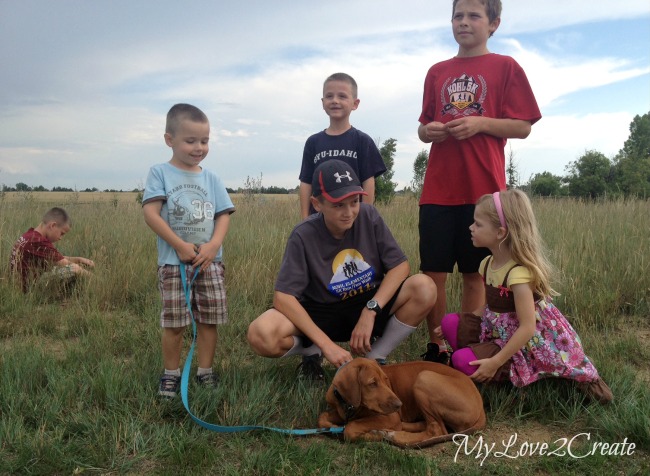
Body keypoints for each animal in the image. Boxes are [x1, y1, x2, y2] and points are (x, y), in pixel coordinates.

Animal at [316, 358, 484, 448]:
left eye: (386, 380)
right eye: (372, 383)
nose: (399, 405)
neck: (351, 407)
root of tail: (481, 406)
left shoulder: (389, 417)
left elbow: (350, 428)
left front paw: (371, 434)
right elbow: (322, 417)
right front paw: (333, 426)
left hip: (424, 377)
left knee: (436, 429)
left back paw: (393, 435)